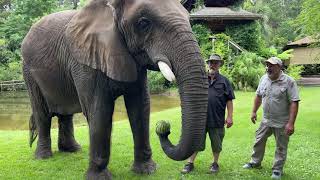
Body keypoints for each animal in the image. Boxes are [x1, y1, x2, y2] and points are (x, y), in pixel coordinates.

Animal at [21, 0, 209, 178]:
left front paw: (146, 170)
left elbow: (140, 107)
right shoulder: (85, 62)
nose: (164, 129)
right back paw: (43, 157)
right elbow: (99, 111)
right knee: (42, 113)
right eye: (144, 23)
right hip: (29, 71)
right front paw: (99, 177)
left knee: (65, 113)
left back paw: (73, 149)